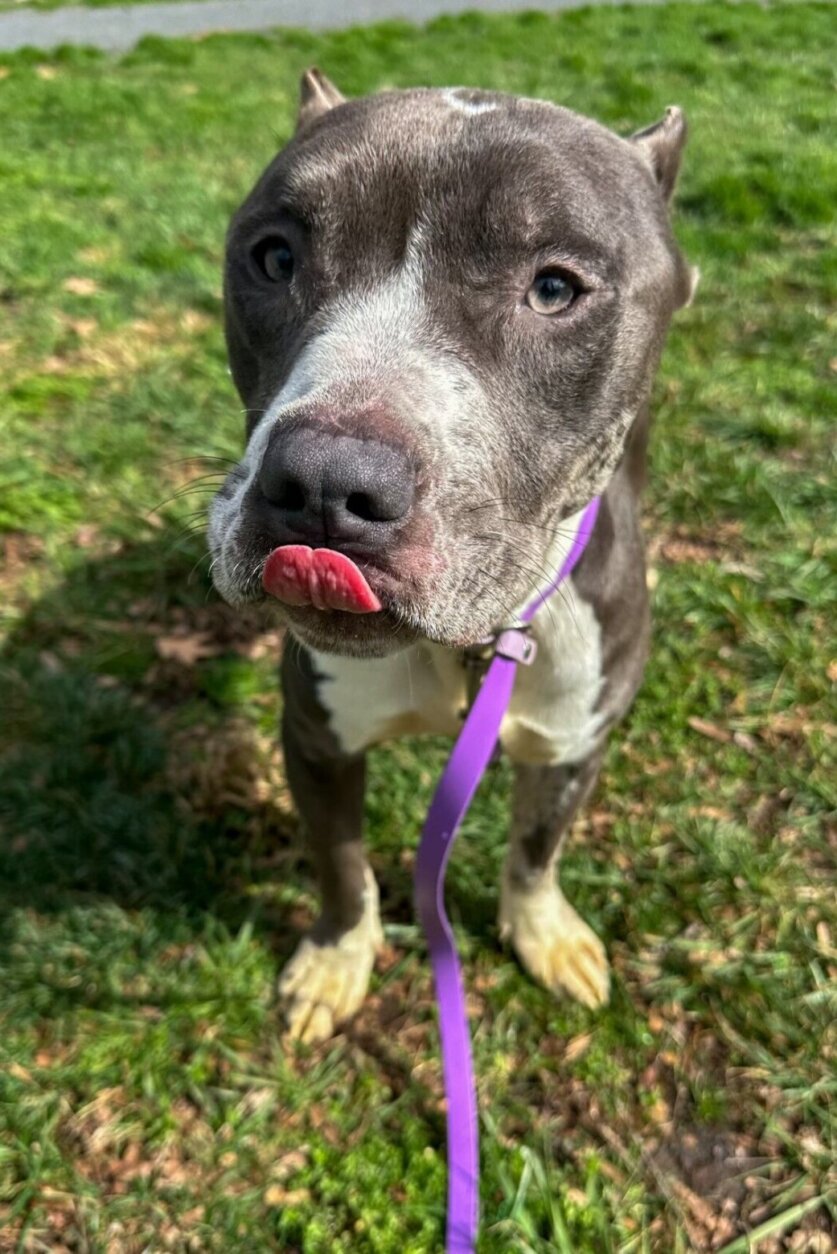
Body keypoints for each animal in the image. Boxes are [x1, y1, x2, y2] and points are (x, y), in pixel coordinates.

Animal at [208, 69, 695, 1043]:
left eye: (554, 288)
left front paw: (543, 933)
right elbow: (342, 869)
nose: (325, 485)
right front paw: (335, 961)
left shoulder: (574, 743)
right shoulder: (316, 739)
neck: (468, 647)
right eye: (273, 258)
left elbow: (536, 851)